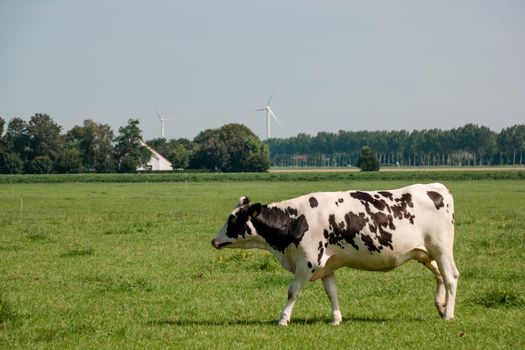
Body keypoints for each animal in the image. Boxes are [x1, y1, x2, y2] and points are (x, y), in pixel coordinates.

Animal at [211, 183, 456, 326]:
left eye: (232, 219)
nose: (214, 240)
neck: (294, 220)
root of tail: (437, 187)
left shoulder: (308, 262)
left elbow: (293, 291)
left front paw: (283, 319)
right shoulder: (326, 265)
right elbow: (332, 292)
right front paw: (336, 319)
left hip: (441, 247)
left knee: (451, 277)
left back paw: (448, 315)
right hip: (425, 253)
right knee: (439, 276)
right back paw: (440, 305)